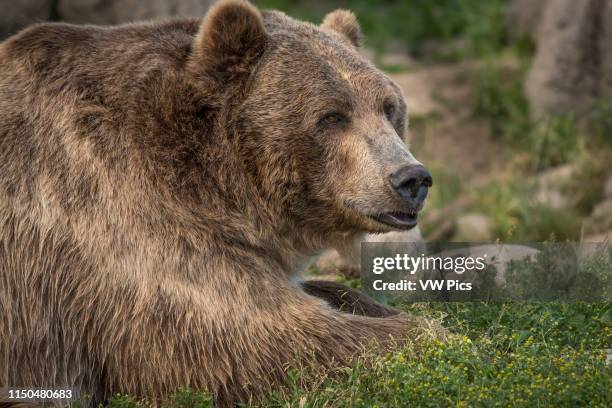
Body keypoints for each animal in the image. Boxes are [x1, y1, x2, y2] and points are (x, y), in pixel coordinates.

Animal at [0, 0, 440, 404]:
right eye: (331, 116)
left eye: (388, 107)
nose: (411, 178)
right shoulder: (121, 224)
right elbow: (266, 336)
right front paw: (432, 335)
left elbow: (319, 292)